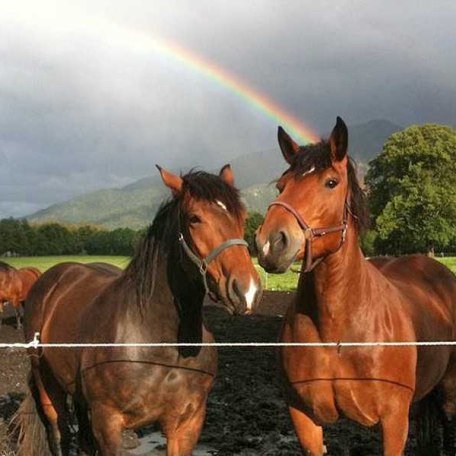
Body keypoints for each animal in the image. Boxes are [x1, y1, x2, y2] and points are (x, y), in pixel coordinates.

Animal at [16, 167, 260, 456]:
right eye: (194, 218)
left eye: (242, 216)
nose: (246, 290)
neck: (160, 345)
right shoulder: (108, 423)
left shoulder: (187, 424)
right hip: (46, 382)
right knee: (58, 433)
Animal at [255, 118, 456, 456]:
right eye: (282, 185)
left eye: (331, 182)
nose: (271, 243)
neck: (336, 332)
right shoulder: (303, 418)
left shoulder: (394, 421)